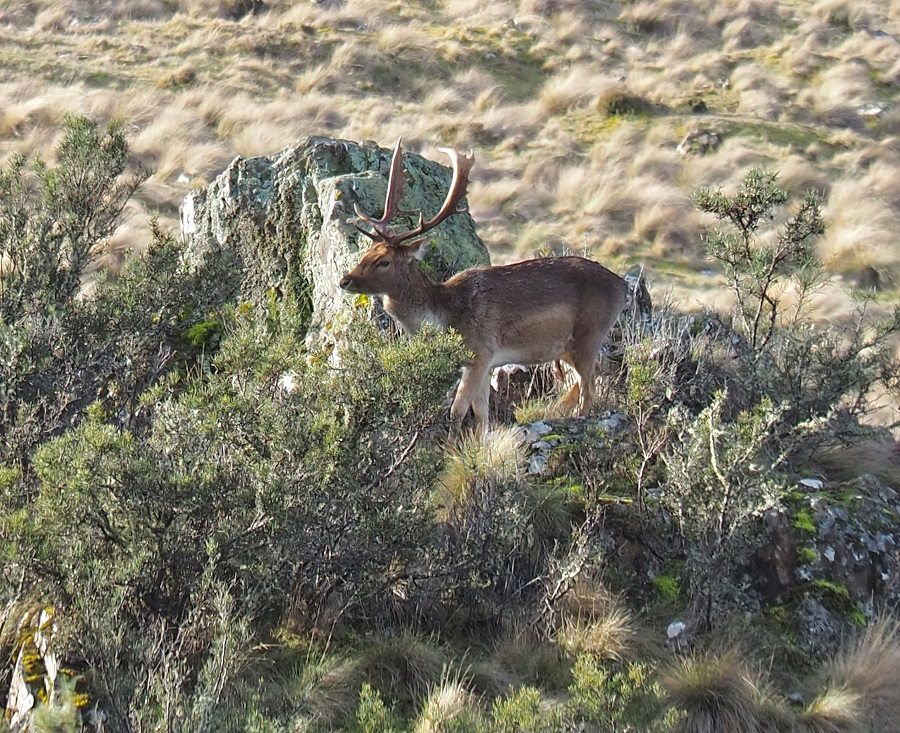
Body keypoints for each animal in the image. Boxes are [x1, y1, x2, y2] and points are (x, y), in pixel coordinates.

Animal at [339, 139, 628, 431]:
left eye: (383, 261)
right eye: (366, 252)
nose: (344, 280)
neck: (446, 315)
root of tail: (621, 285)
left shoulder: (480, 351)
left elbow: (457, 410)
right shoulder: (488, 362)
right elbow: (481, 411)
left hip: (589, 334)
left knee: (589, 385)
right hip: (568, 347)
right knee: (589, 378)